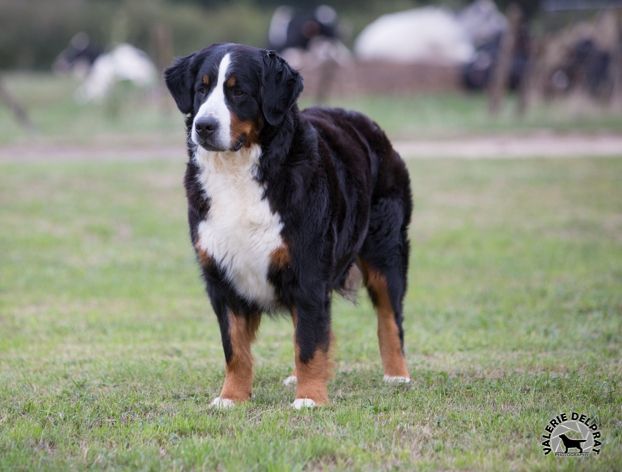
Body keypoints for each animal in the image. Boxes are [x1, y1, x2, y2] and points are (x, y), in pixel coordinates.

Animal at [165, 42, 414, 408]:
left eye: (238, 91)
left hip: (386, 250)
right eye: (202, 88)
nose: (204, 126)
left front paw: (309, 398)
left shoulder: (308, 269)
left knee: (389, 318)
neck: (238, 172)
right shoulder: (222, 276)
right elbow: (235, 348)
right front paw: (231, 398)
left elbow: (309, 343)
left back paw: (398, 376)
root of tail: (363, 120)